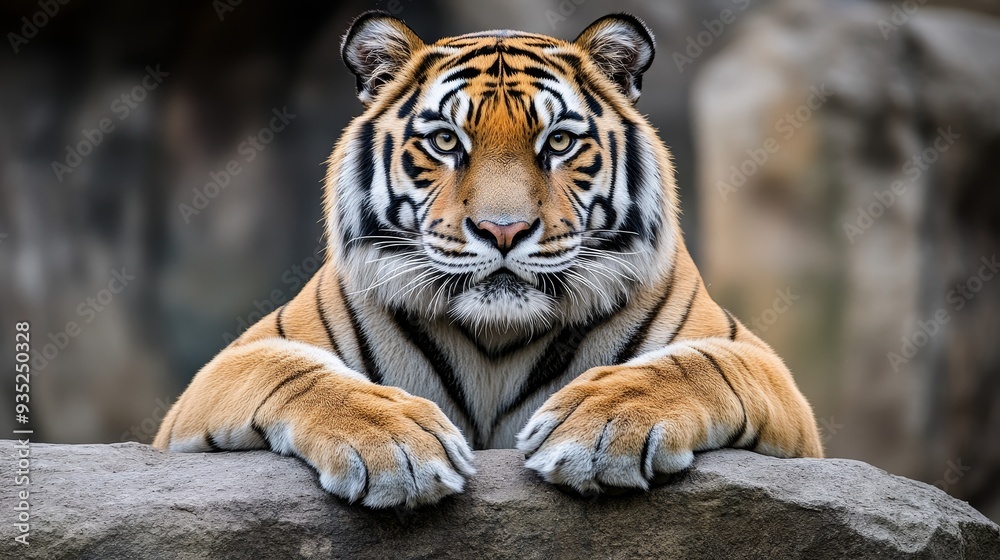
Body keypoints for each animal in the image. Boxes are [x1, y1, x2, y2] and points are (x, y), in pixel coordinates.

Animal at [153, 11, 822, 509]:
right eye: (446, 141)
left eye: (559, 141)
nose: (504, 230)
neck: (496, 342)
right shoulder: (215, 379)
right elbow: (295, 369)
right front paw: (396, 443)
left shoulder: (770, 377)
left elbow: (698, 364)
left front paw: (601, 425)